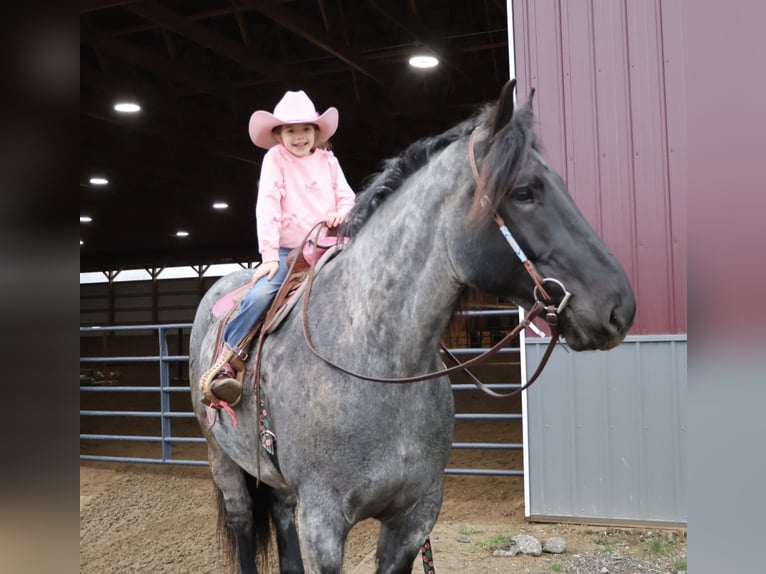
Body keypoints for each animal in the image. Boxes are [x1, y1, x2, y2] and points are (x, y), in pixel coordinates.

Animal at [189, 79, 636, 574]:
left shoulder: (414, 518)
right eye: (525, 192)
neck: (376, 364)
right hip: (224, 462)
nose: (619, 306)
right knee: (243, 524)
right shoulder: (323, 524)